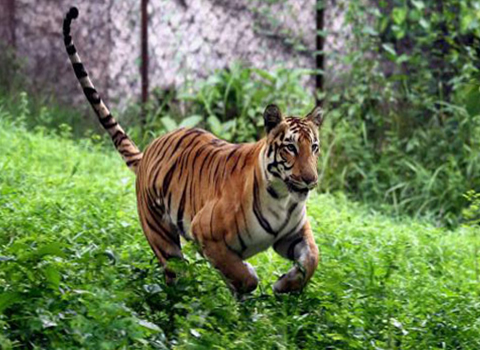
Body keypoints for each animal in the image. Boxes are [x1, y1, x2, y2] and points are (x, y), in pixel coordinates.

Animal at [62, 6, 322, 294]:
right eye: (290, 147)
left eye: (314, 147)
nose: (311, 180)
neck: (282, 198)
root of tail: (148, 151)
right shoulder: (205, 231)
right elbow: (242, 275)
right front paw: (251, 279)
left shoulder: (294, 234)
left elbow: (312, 257)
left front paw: (286, 284)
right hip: (162, 237)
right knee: (176, 276)